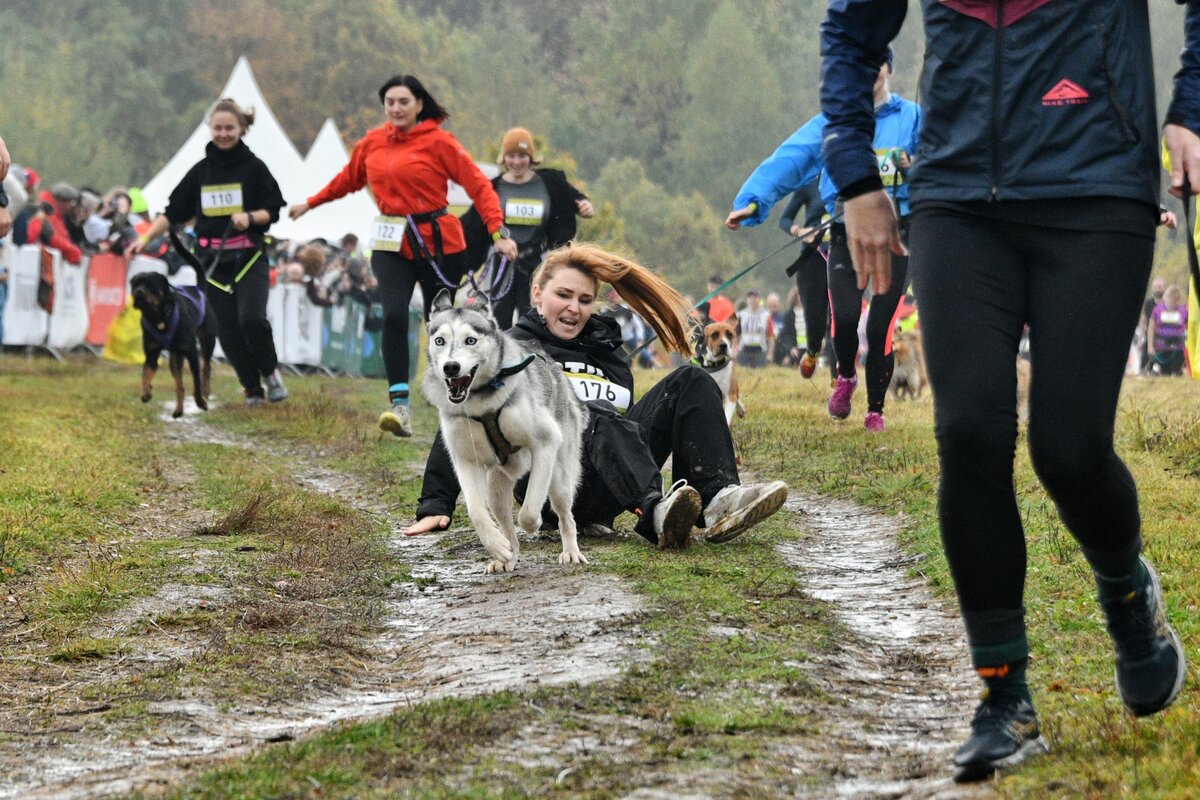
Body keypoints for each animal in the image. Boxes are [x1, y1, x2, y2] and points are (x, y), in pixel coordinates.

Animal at [133, 272, 220, 419]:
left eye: (151, 284)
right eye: (134, 284)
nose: (138, 292)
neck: (159, 318)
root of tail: (198, 289)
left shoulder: (192, 354)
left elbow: (196, 382)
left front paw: (200, 401)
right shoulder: (151, 356)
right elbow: (145, 375)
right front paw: (146, 392)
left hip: (207, 341)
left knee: (206, 367)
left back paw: (206, 391)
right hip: (175, 358)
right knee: (180, 386)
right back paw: (178, 410)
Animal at [424, 291, 588, 573]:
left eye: (470, 340)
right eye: (439, 340)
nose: (451, 367)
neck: (481, 403)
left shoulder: (545, 442)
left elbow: (530, 511)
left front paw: (534, 524)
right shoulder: (465, 460)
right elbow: (476, 512)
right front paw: (497, 545)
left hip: (559, 477)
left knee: (566, 516)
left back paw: (570, 551)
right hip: (497, 487)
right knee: (504, 518)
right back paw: (508, 554)